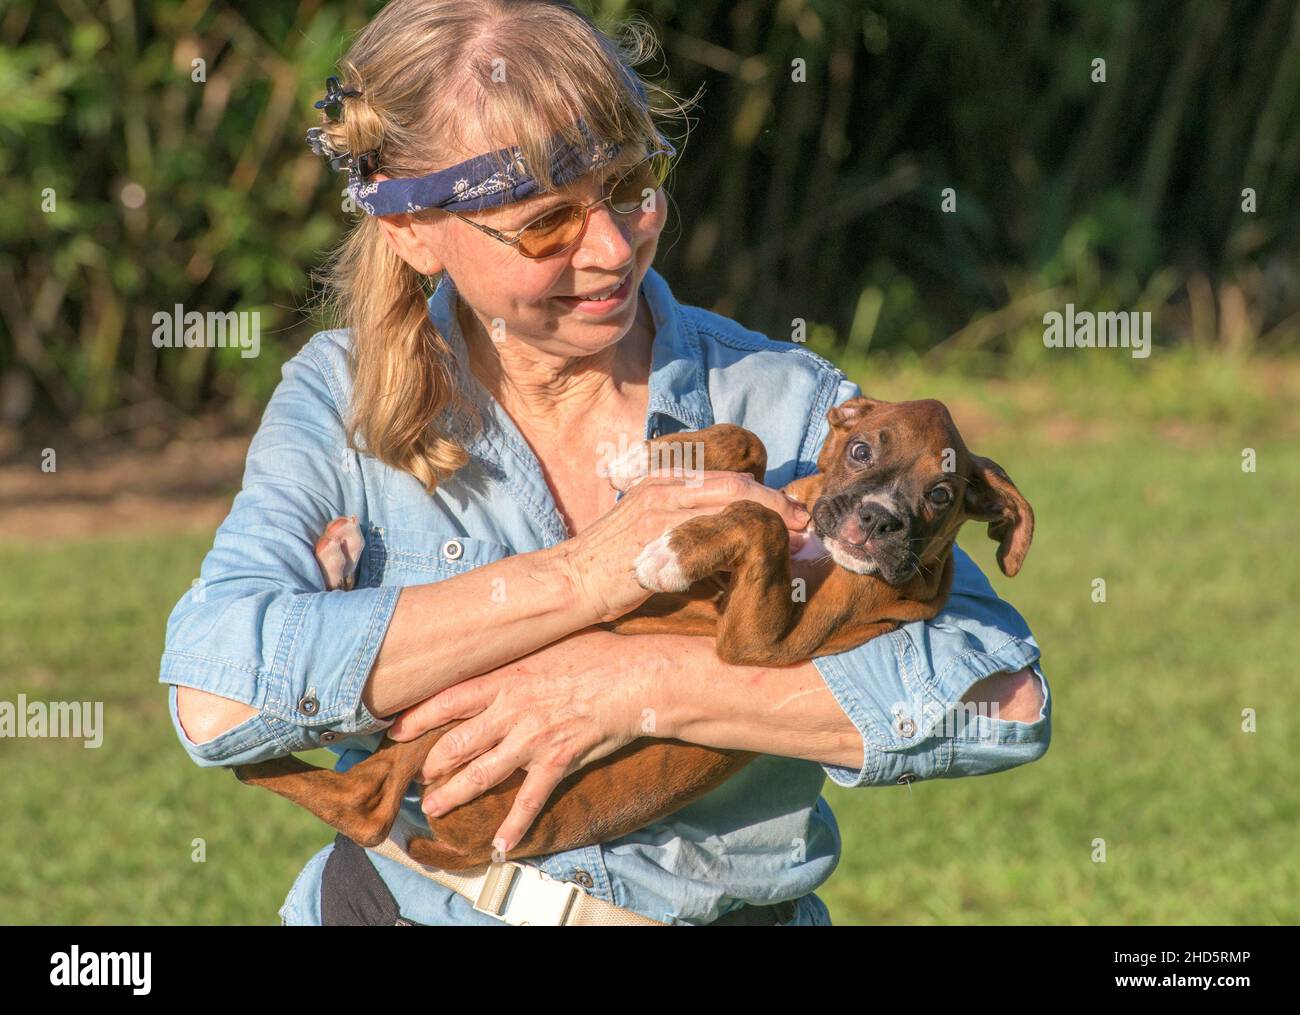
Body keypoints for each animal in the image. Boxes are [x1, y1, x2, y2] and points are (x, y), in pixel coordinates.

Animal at [233, 392, 1034, 868]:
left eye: (940, 494)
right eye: (864, 449)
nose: (879, 519)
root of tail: (461, 850)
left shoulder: (761, 644)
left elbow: (763, 522)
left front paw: (672, 550)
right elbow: (751, 452)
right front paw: (649, 461)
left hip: (429, 732)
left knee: (361, 803)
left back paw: (257, 768)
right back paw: (336, 554)